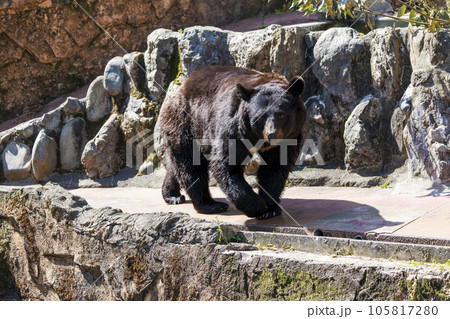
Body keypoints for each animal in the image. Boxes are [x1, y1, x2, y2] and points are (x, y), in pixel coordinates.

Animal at [158, 65, 306, 220]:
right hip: (187, 123)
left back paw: (172, 194)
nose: (272, 134)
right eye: (260, 116)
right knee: (191, 164)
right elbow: (227, 165)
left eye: (281, 115)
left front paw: (270, 207)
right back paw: (211, 204)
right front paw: (258, 206)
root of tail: (178, 90)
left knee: (176, 166)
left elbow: (275, 168)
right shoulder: (234, 127)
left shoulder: (290, 138)